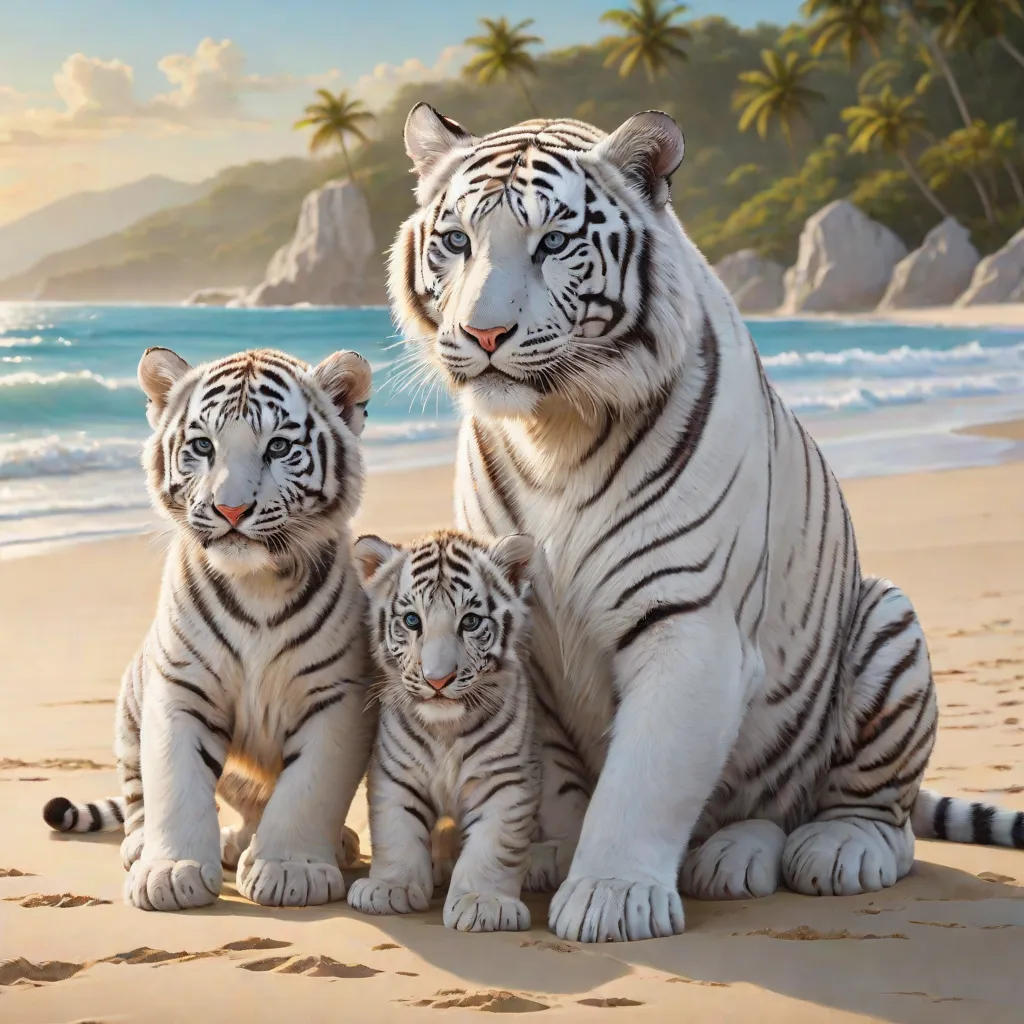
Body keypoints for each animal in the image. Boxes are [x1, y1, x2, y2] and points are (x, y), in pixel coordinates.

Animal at [42, 345, 376, 911]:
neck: (258, 583)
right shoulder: (180, 687)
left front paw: (290, 870)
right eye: (203, 446)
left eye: (279, 447)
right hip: (131, 699)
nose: (231, 509)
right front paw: (169, 873)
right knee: (140, 791)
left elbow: (308, 790)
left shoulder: (336, 697)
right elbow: (175, 785)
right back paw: (154, 846)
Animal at [347, 529, 541, 931]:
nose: (438, 680)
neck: (446, 730)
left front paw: (484, 902)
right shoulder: (395, 774)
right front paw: (388, 889)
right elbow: (396, 831)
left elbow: (494, 846)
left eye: (470, 622)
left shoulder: (505, 779)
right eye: (411, 620)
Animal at [387, 103, 1024, 942]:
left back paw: (814, 851)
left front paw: (610, 898)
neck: (553, 428)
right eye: (457, 240)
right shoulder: (517, 633)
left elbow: (645, 777)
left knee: (863, 815)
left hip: (887, 618)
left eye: (553, 243)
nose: (485, 336)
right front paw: (543, 852)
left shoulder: (687, 623)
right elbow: (550, 772)